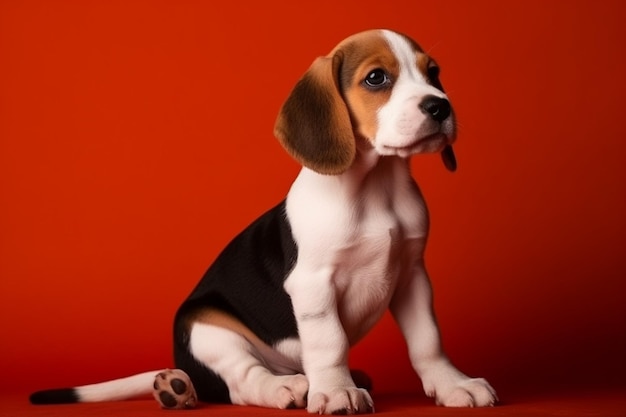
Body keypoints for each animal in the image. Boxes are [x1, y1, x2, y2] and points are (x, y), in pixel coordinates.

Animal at [29, 29, 498, 412]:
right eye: (376, 78)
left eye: (433, 72)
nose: (439, 107)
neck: (376, 185)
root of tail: (191, 370)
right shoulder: (312, 284)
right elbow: (330, 343)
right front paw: (337, 390)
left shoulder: (412, 276)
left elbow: (428, 341)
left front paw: (453, 384)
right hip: (209, 329)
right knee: (242, 382)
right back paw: (277, 387)